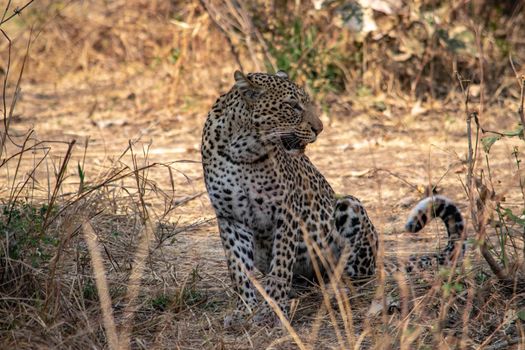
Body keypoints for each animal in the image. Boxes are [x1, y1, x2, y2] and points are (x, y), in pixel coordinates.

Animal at [200, 70, 462, 328]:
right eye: (292, 105)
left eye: (306, 103)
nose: (320, 128)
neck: (243, 150)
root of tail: (377, 261)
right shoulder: (230, 218)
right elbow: (239, 269)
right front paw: (245, 310)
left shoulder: (287, 212)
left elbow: (281, 266)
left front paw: (272, 310)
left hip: (349, 207)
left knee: (357, 276)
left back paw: (335, 290)